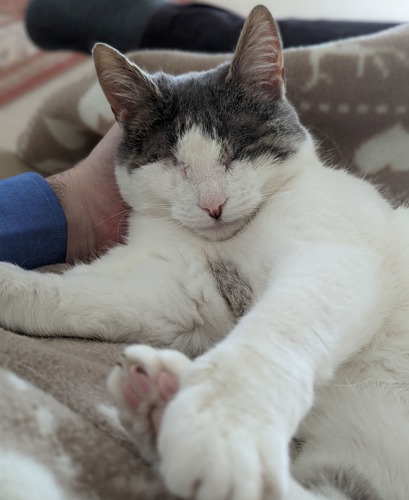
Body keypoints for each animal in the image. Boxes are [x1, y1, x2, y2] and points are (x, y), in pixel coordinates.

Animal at [0, 4, 408, 500]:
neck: (226, 244)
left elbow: (273, 333)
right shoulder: (180, 293)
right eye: (171, 159)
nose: (213, 205)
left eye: (237, 149)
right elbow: (77, 295)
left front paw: (224, 427)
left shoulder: (333, 254)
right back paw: (154, 401)